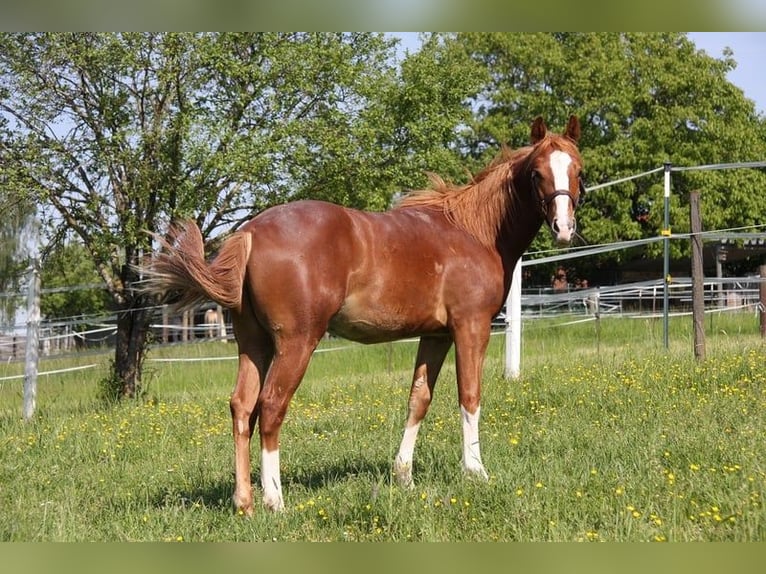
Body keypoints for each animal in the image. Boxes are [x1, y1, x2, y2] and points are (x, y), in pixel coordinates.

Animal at [141, 115, 585, 515]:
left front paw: (403, 475)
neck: (475, 231)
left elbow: (418, 399)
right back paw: (274, 500)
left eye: (577, 169)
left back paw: (245, 502)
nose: (563, 228)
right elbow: (470, 396)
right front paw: (476, 472)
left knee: (241, 408)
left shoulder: (436, 334)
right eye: (537, 173)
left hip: (254, 344)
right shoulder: (470, 327)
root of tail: (250, 231)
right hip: (295, 343)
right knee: (270, 407)